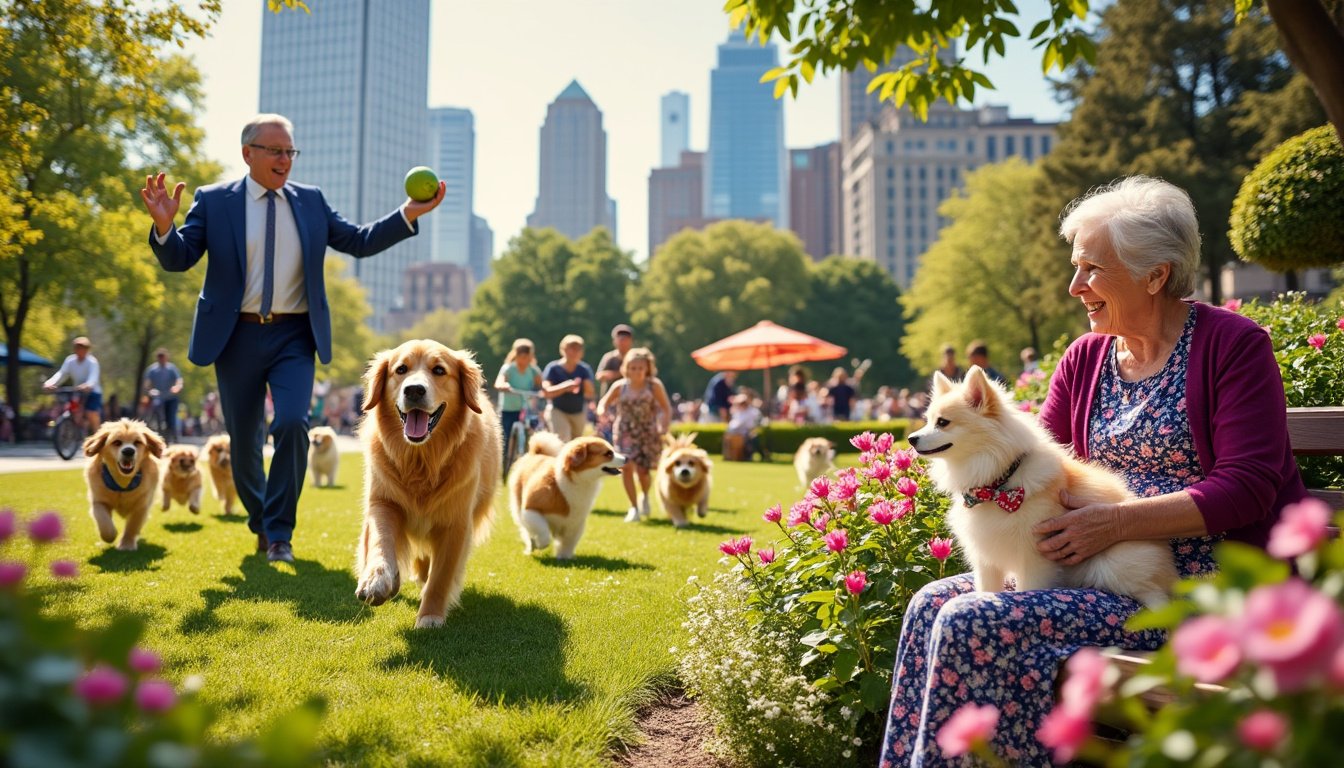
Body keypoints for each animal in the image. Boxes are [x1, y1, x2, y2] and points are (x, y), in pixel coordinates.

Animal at [83, 419, 165, 554]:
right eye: (117, 442)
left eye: (137, 442)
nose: (128, 451)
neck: (122, 482)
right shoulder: (99, 501)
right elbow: (104, 522)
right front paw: (110, 536)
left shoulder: (141, 506)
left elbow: (132, 526)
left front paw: (126, 544)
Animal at [354, 342, 502, 632]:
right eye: (401, 369)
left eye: (439, 370)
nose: (414, 390)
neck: (421, 460)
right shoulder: (383, 502)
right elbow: (380, 540)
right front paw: (377, 580)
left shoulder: (456, 523)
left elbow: (441, 576)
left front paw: (430, 616)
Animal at [903, 365, 1177, 607]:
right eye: (927, 420)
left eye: (943, 422)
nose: (911, 438)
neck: (997, 485)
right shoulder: (986, 561)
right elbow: (986, 588)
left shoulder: (1035, 557)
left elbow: (1028, 588)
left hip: (1115, 565)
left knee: (1156, 595)